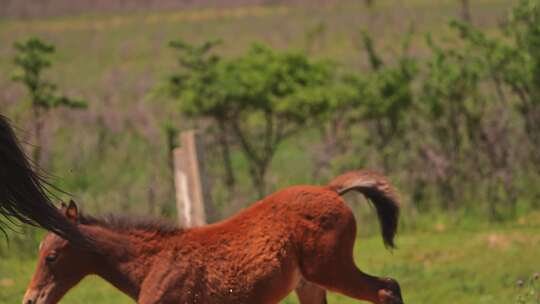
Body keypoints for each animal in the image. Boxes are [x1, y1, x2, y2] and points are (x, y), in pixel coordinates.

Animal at [25, 172, 402, 302]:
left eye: (51, 257)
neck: (152, 264)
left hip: (330, 269)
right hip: (309, 284)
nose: (30, 300)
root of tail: (330, 190)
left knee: (387, 289)